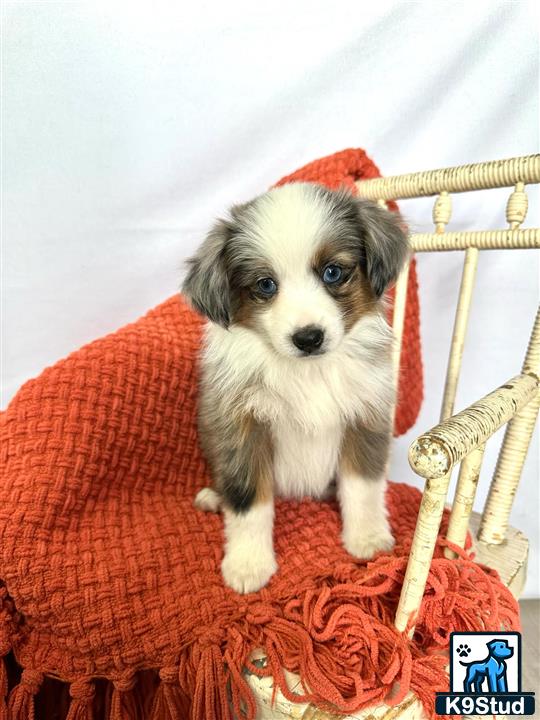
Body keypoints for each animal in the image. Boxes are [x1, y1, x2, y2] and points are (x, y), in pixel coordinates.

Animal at [184, 183, 408, 592]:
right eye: (265, 285)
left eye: (333, 272)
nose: (308, 338)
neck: (308, 372)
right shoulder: (242, 426)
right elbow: (248, 501)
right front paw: (248, 563)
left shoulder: (365, 415)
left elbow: (363, 486)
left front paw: (367, 537)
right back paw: (213, 497)